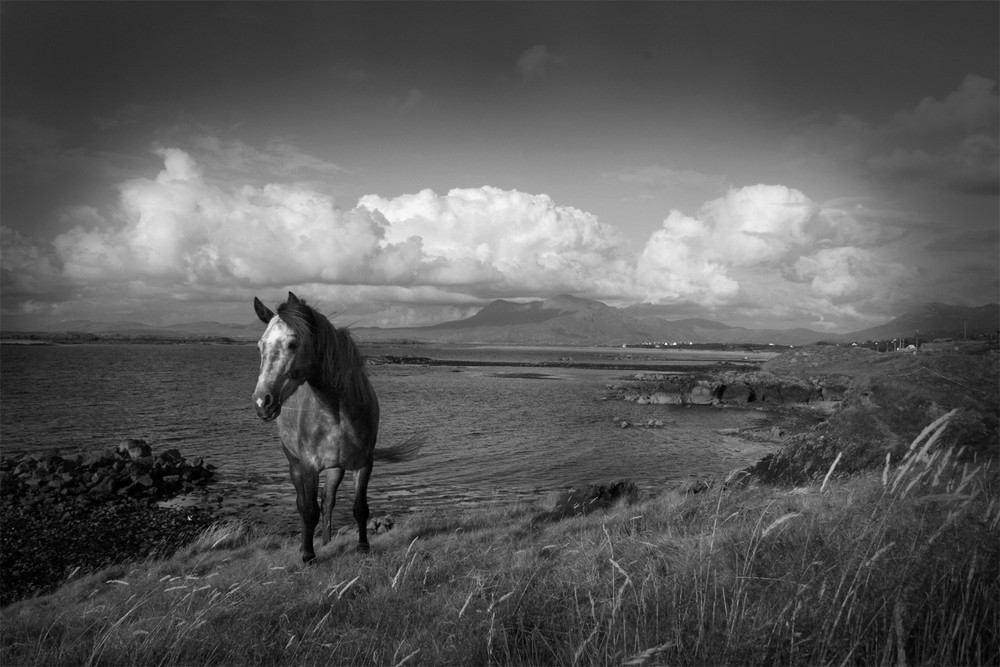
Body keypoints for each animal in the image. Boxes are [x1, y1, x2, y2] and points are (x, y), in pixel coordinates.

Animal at [254, 294, 422, 564]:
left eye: (293, 343)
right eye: (260, 346)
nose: (262, 402)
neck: (336, 413)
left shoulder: (363, 463)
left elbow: (359, 507)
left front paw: (363, 546)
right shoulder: (309, 466)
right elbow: (309, 509)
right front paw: (308, 555)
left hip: (336, 468)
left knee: (328, 499)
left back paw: (326, 541)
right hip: (294, 463)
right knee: (303, 503)